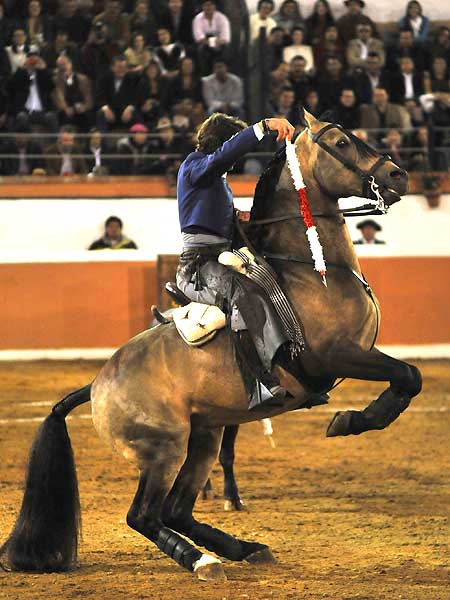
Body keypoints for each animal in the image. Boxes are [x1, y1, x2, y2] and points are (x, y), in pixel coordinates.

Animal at [1, 110, 421, 582]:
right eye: (341, 142)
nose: (397, 174)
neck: (313, 271)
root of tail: (96, 385)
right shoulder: (339, 355)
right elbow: (409, 375)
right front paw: (349, 421)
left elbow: (407, 378)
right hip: (164, 449)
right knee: (144, 515)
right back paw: (201, 560)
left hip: (205, 436)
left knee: (178, 510)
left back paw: (244, 548)